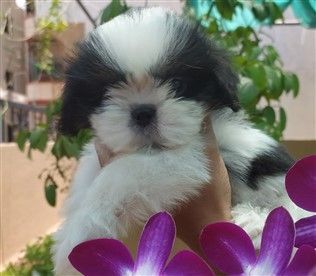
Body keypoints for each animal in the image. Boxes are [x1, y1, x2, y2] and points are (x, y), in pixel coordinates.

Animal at [53, 7, 308, 274]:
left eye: (177, 84)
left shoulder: (189, 157)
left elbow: (117, 178)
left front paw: (77, 240)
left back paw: (255, 221)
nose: (143, 112)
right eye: (105, 93)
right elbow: (87, 180)